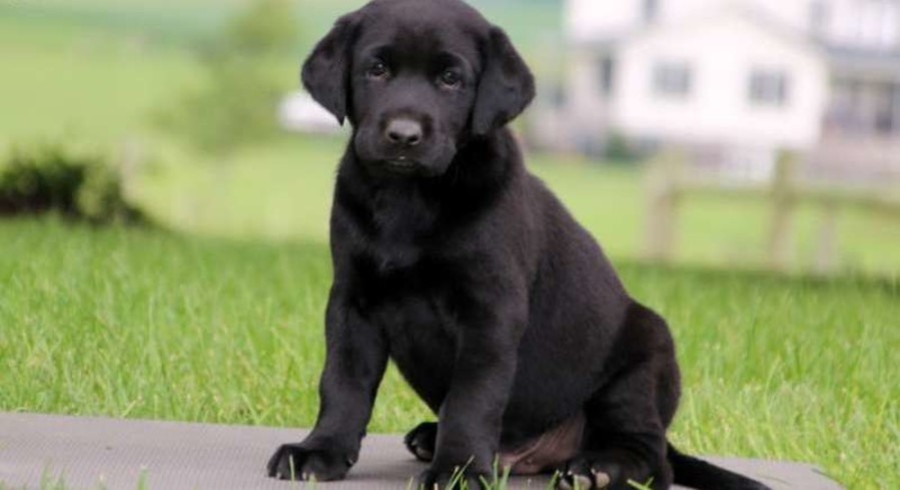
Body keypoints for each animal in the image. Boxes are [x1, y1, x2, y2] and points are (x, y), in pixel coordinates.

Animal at [266, 0, 768, 490]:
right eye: (376, 69)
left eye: (451, 78)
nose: (404, 135)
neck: (410, 198)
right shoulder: (353, 301)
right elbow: (342, 382)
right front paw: (320, 450)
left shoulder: (490, 311)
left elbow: (472, 397)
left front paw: (459, 469)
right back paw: (431, 438)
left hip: (643, 358)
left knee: (652, 459)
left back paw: (599, 468)